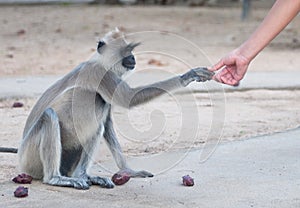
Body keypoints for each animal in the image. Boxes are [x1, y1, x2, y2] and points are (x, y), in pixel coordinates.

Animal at [2, 28, 213, 189]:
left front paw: (128, 171)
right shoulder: (100, 73)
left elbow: (108, 122)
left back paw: (82, 175)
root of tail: (21, 156)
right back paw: (56, 179)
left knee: (98, 119)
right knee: (51, 114)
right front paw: (187, 76)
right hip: (30, 157)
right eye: (126, 51)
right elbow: (128, 99)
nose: (133, 58)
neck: (99, 62)